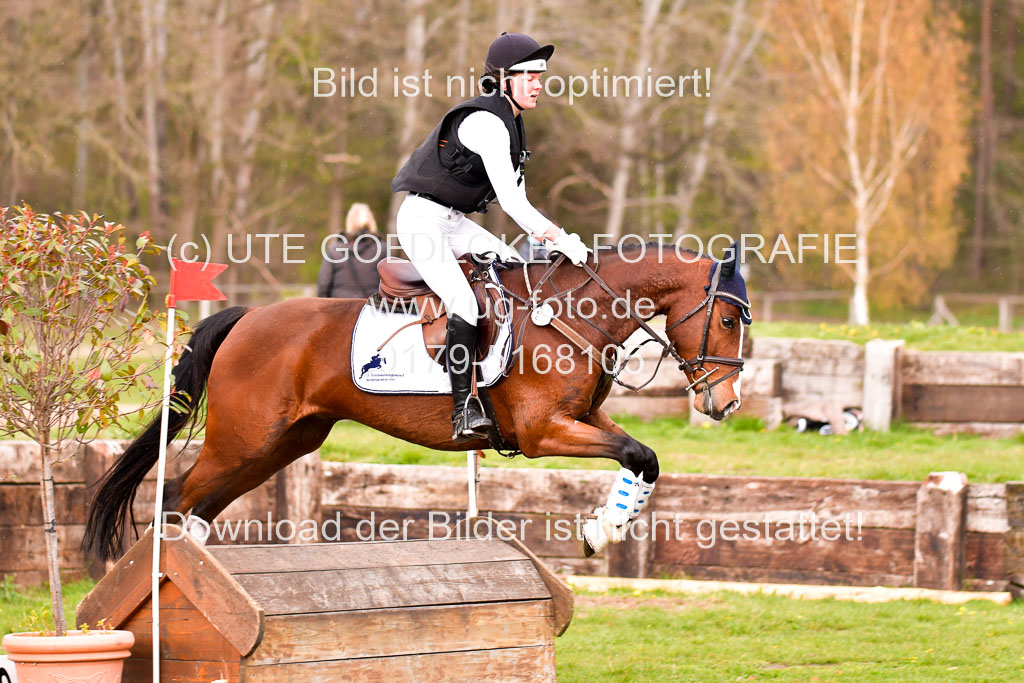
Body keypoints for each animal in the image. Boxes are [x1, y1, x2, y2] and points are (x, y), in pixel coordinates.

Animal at [83, 242, 749, 565]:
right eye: (725, 319)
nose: (726, 403)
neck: (570, 314)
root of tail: (246, 318)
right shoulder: (544, 432)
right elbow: (639, 453)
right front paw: (601, 531)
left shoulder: (583, 419)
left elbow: (643, 458)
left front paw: (602, 528)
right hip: (243, 438)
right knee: (176, 495)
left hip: (282, 442)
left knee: (200, 504)